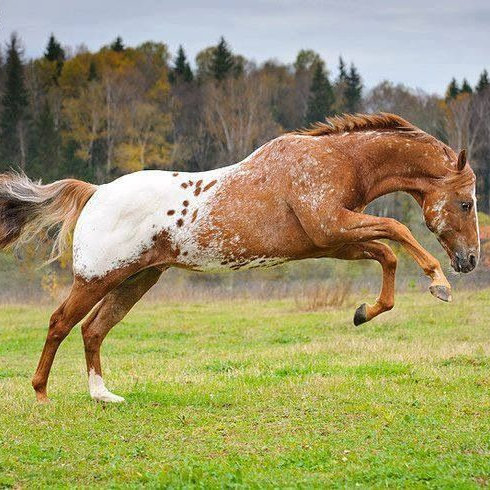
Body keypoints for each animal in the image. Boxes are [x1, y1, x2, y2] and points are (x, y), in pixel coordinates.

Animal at [0, 114, 478, 402]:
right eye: (467, 203)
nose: (469, 260)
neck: (337, 160)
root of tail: (96, 192)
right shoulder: (333, 227)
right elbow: (397, 231)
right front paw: (439, 284)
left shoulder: (334, 241)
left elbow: (387, 253)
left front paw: (365, 312)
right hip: (98, 278)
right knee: (61, 322)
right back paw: (41, 393)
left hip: (137, 280)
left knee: (93, 329)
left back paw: (104, 395)